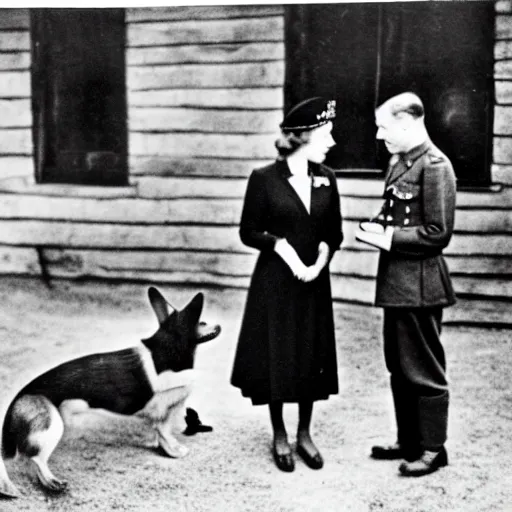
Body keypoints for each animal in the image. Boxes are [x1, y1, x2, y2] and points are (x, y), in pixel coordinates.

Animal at [0, 288, 220, 500]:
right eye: (202, 322)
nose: (218, 325)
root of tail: (18, 398)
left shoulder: (163, 415)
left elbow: (163, 432)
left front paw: (170, 448)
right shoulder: (163, 385)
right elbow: (190, 378)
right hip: (52, 425)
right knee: (36, 459)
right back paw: (52, 482)